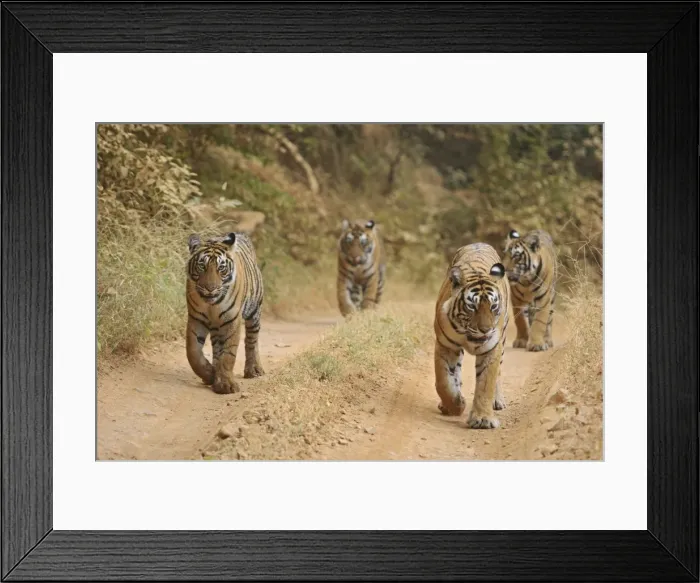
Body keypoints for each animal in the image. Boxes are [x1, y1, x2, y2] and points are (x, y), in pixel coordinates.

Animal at [185, 231, 265, 395]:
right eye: (202, 266)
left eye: (221, 268)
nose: (210, 288)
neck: (212, 305)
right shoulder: (196, 319)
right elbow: (193, 352)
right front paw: (210, 374)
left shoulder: (231, 320)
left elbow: (229, 354)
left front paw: (225, 384)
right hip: (216, 326)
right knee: (217, 348)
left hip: (254, 311)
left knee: (252, 340)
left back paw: (253, 369)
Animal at [433, 242, 510, 429]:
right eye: (472, 307)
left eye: (493, 306)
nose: (485, 329)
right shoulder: (445, 345)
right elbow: (444, 381)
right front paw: (456, 405)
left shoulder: (491, 348)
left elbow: (486, 383)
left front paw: (483, 419)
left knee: (498, 373)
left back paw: (497, 401)